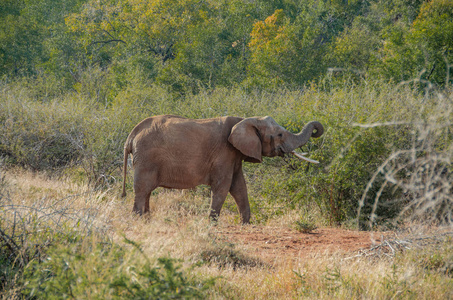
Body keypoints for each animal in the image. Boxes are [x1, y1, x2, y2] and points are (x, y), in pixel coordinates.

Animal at [122, 114, 324, 223]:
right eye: (280, 134)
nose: (316, 130)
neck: (246, 120)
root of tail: (131, 135)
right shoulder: (224, 153)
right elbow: (223, 186)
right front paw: (212, 224)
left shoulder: (235, 156)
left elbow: (239, 186)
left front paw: (245, 224)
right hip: (146, 159)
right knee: (143, 190)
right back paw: (138, 219)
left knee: (146, 191)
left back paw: (147, 219)